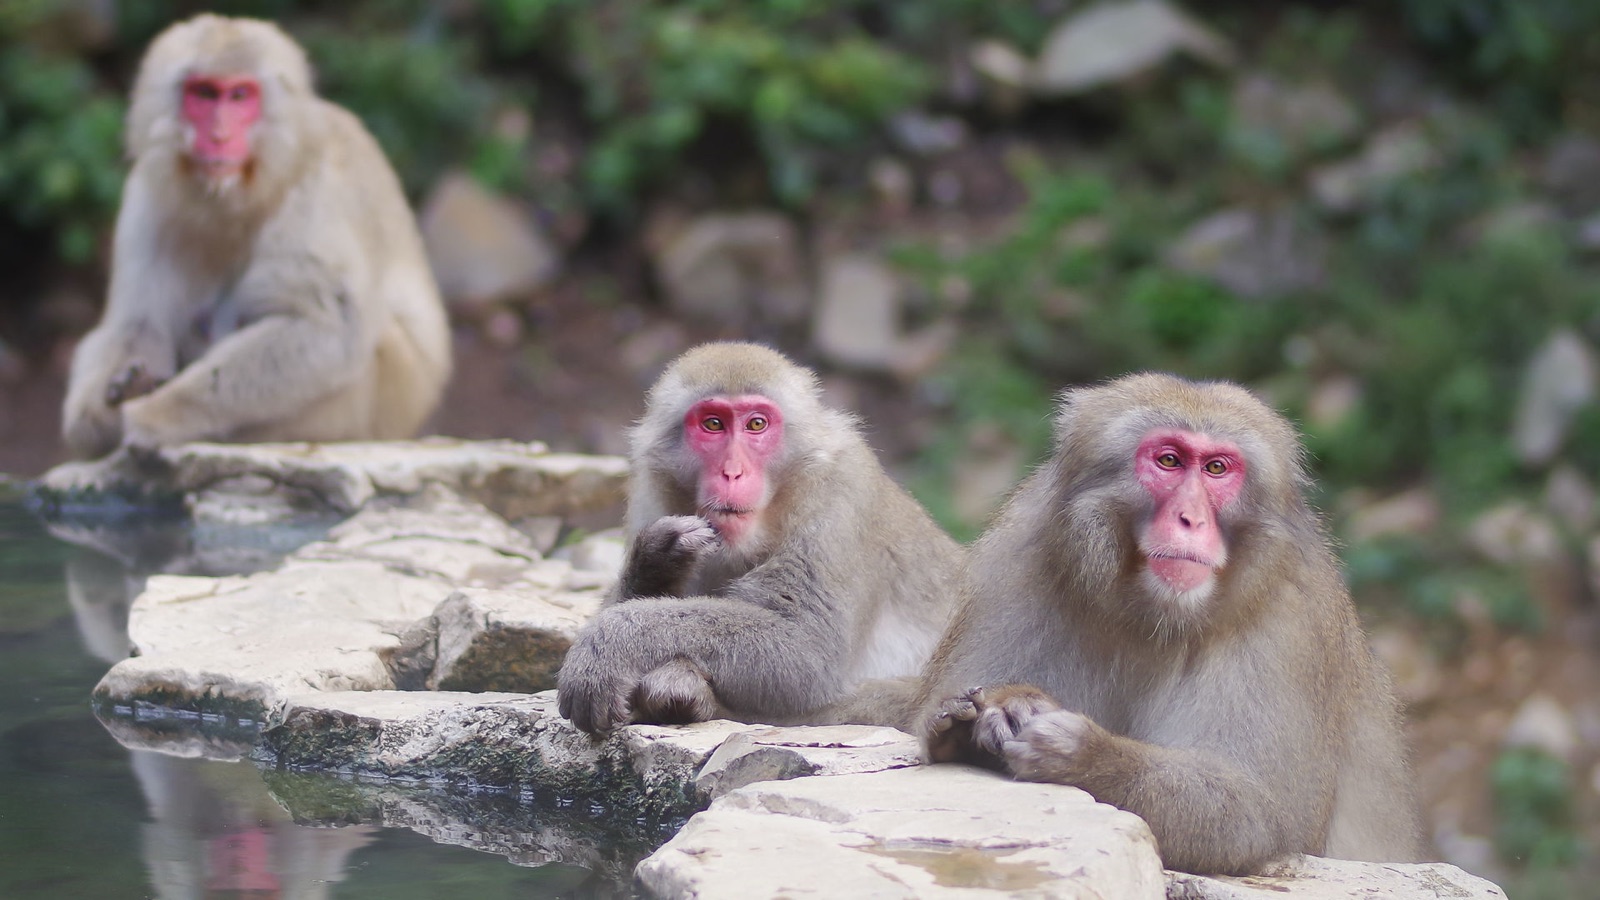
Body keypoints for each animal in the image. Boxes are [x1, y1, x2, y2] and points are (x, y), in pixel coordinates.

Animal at [61, 14, 451, 460]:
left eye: (240, 95)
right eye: (204, 94)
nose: (219, 135)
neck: (245, 194)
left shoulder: (316, 196)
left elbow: (327, 330)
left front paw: (157, 412)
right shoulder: (146, 198)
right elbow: (136, 325)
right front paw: (98, 417)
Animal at [557, 342, 962, 734]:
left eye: (756, 424)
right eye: (713, 424)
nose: (732, 472)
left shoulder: (842, 495)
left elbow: (806, 651)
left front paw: (610, 643)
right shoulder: (649, 492)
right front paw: (656, 559)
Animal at [916, 372, 1424, 876]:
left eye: (1217, 468)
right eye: (1169, 461)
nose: (1190, 518)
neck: (1150, 614)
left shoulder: (1292, 619)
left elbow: (1258, 813)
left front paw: (1085, 756)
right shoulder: (1019, 559)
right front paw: (1003, 708)